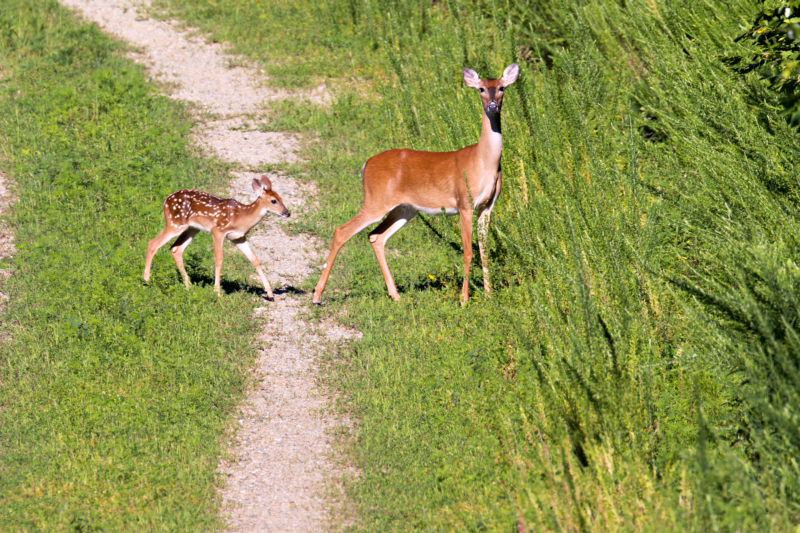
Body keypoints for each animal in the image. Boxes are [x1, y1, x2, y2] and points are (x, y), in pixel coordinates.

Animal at [144, 176, 290, 298]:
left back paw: (189, 286)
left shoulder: (238, 237)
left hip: (192, 228)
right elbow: (219, 259)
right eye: (273, 201)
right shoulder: (218, 230)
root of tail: (165, 200)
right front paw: (217, 292)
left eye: (282, 199)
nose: (287, 213)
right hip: (175, 223)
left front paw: (270, 293)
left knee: (175, 249)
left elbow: (254, 259)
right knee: (152, 244)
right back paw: (146, 281)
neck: (241, 217)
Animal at [312, 62, 520, 304]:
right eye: (481, 89)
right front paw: (463, 300)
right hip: (376, 200)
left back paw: (395, 295)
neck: (484, 162)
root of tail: (366, 164)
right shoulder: (465, 203)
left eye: (502, 87)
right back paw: (317, 295)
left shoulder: (487, 207)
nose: (493, 105)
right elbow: (469, 252)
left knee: (376, 236)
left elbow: (484, 251)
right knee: (342, 231)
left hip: (404, 208)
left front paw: (489, 295)